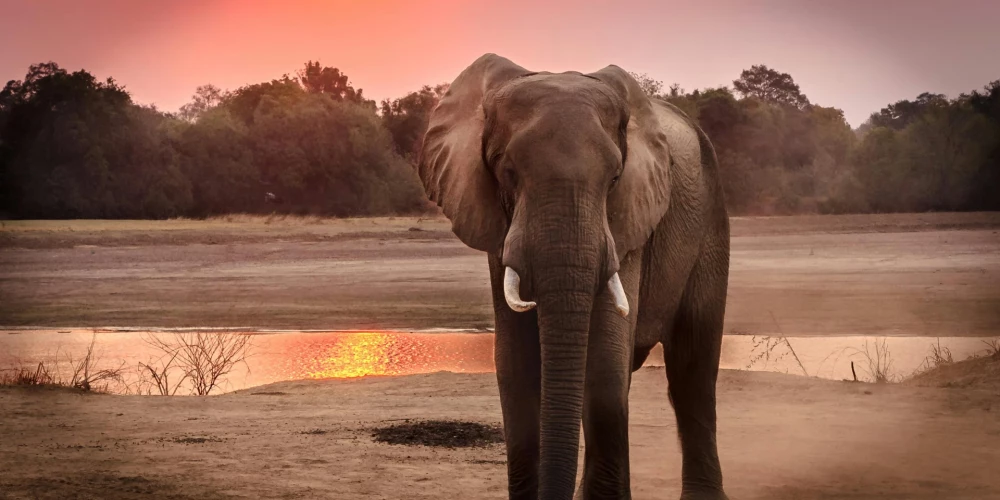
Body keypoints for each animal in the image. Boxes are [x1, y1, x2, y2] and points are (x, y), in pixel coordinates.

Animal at [414, 54, 728, 500]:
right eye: (508, 171)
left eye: (614, 178)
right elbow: (515, 363)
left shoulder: (629, 220)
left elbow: (604, 361)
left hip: (711, 221)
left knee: (692, 369)